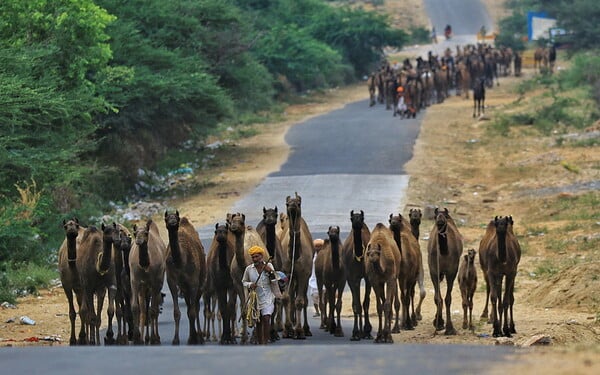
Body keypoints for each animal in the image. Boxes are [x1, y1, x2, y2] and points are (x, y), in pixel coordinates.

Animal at [164, 210, 206, 346]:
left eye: (176, 218)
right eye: (166, 218)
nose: (172, 221)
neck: (180, 261)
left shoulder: (193, 282)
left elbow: (193, 312)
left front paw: (192, 339)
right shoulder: (172, 281)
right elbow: (177, 312)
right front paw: (175, 340)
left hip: (201, 282)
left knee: (196, 307)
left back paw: (200, 337)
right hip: (184, 287)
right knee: (189, 306)